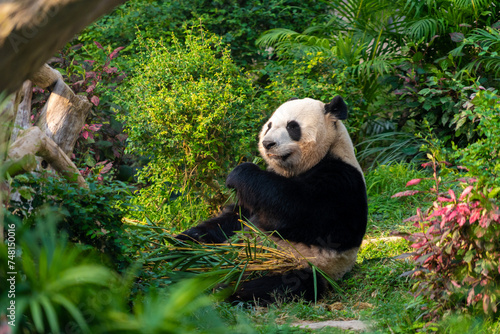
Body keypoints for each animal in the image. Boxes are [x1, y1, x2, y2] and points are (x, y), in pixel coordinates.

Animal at [177, 96, 368, 302]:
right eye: (269, 126)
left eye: (292, 127)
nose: (268, 143)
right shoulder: (255, 195)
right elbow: (236, 217)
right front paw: (184, 238)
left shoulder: (341, 179)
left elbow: (294, 210)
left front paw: (238, 173)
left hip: (301, 265)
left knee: (281, 284)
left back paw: (224, 288)